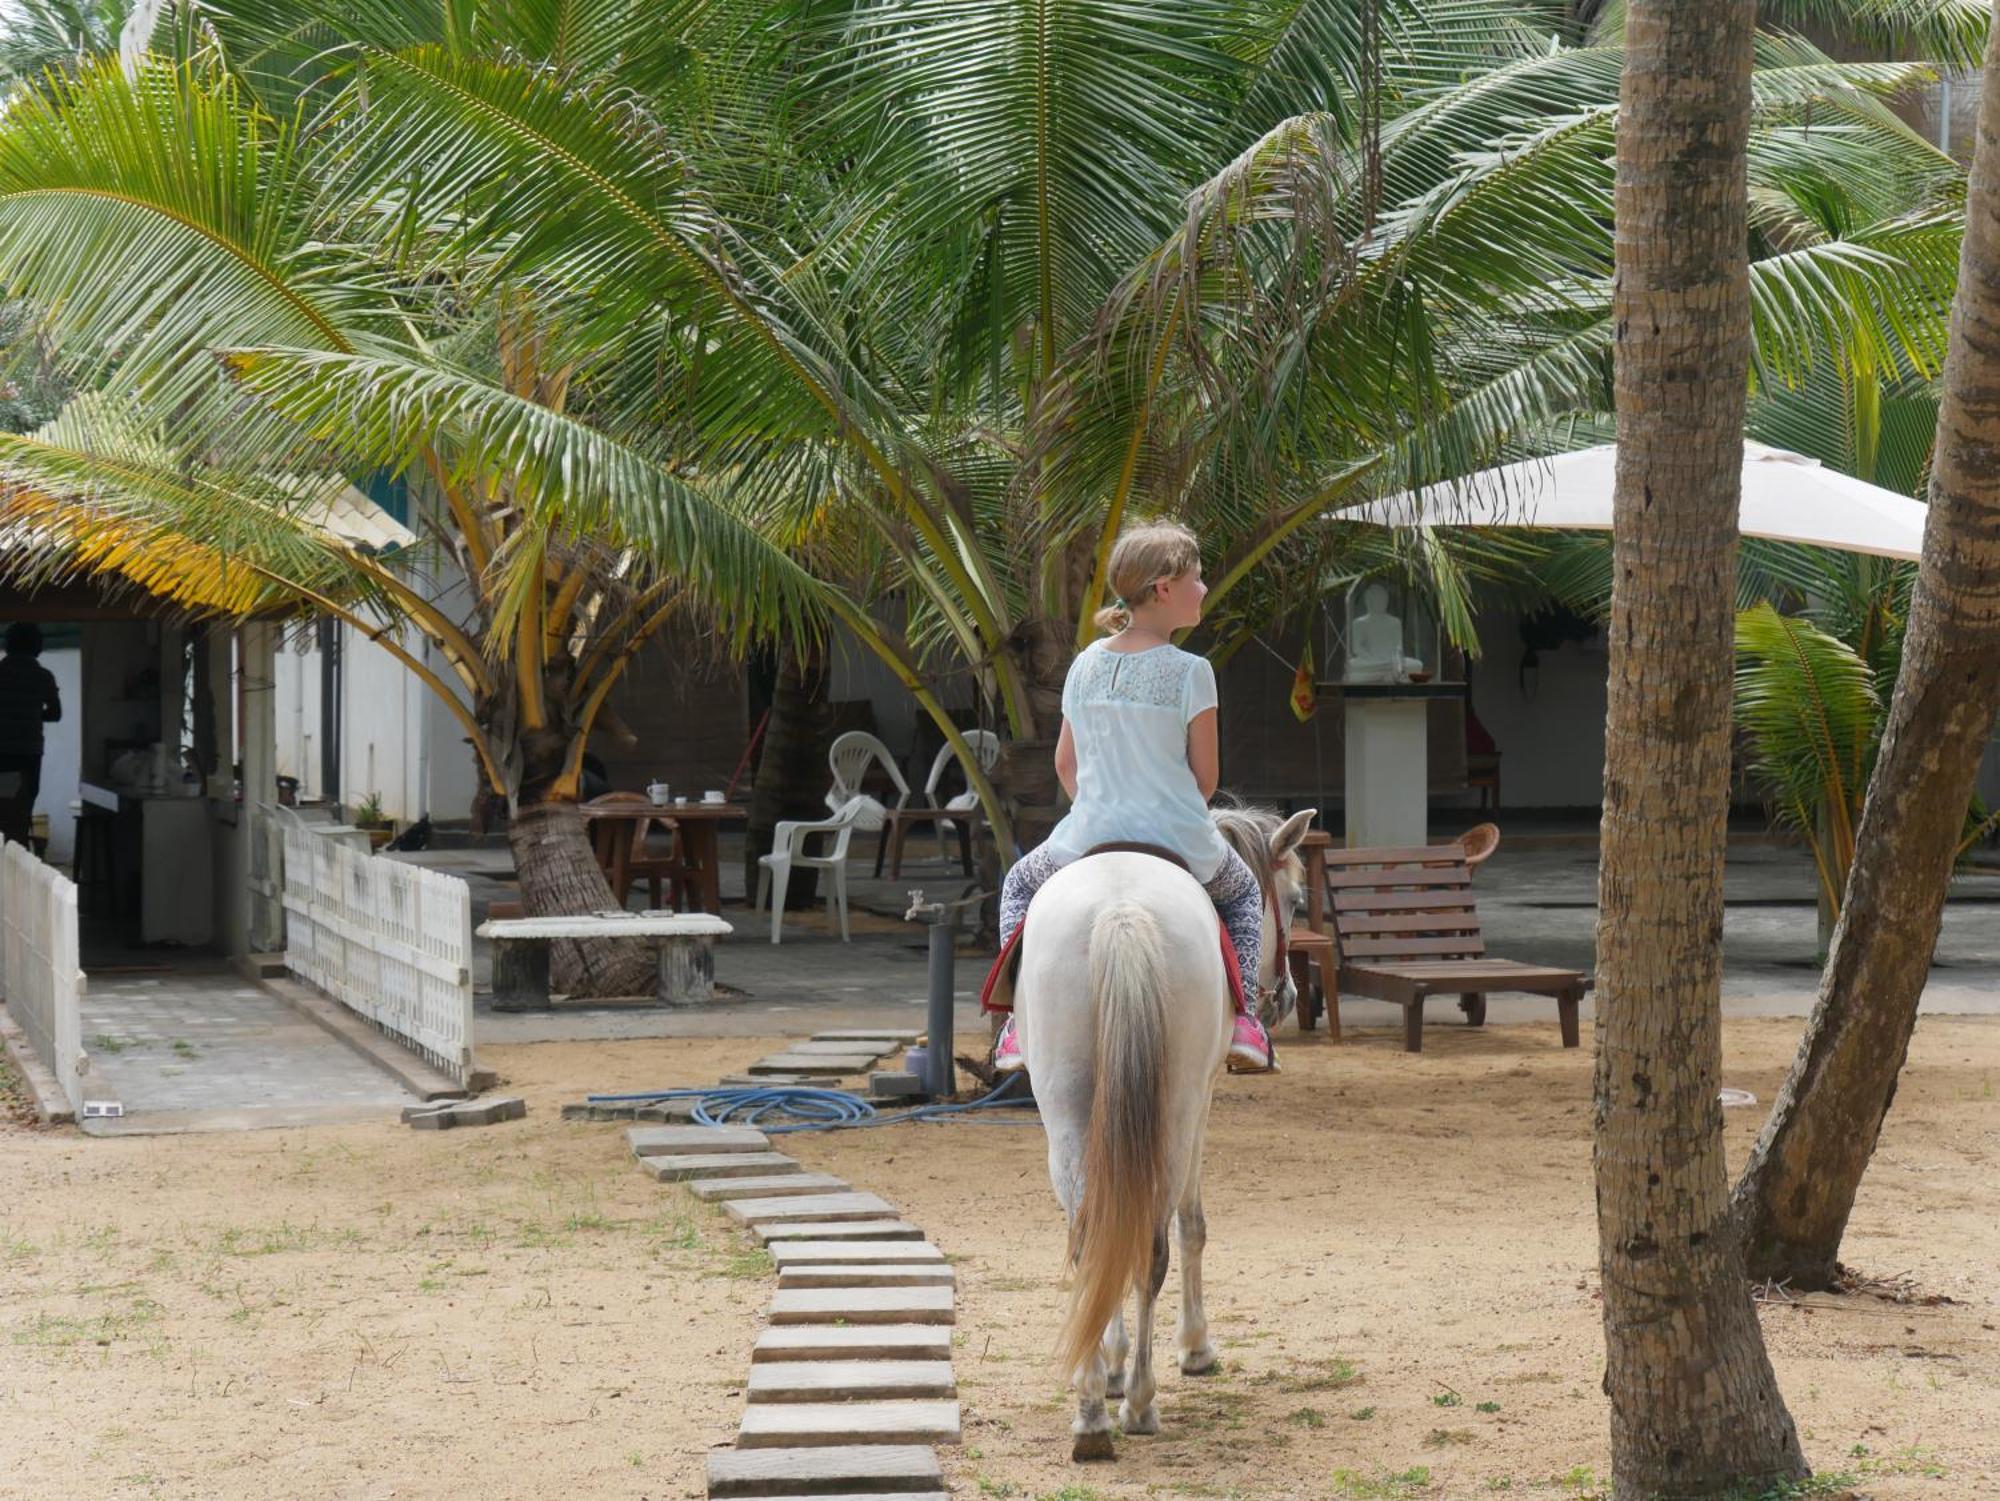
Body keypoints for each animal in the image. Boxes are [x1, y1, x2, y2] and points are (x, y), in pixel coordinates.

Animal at [1016, 804, 1312, 1464]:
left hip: (1068, 1113)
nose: (1284, 997)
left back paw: (1093, 1414)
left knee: (1095, 1239)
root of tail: (1122, 914)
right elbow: (1193, 1225)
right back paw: (1139, 1403)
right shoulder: (1202, 1099)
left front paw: (1111, 1363)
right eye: (1296, 899)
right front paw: (1194, 1347)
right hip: (1175, 1113)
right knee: (1153, 1244)